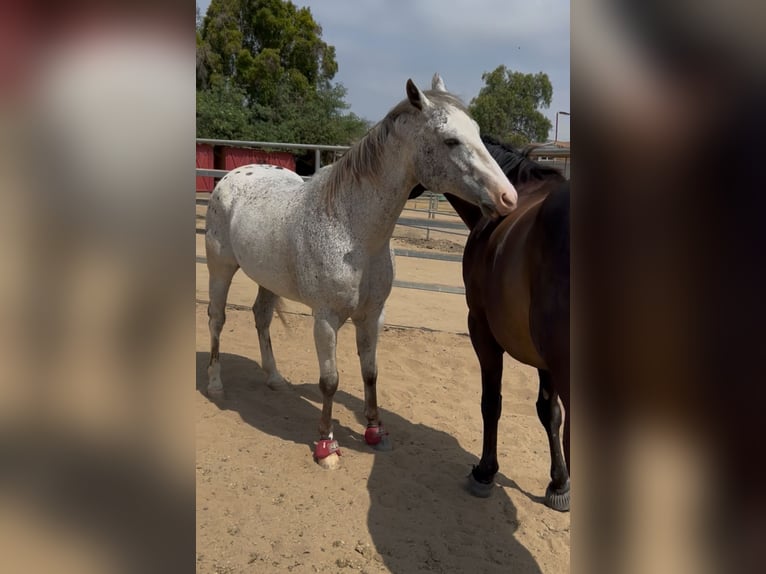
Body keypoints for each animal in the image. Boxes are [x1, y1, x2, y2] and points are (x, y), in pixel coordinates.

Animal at [204, 75, 518, 470]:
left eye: (477, 133)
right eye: (451, 140)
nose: (508, 197)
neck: (352, 231)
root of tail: (234, 174)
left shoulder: (372, 316)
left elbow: (370, 372)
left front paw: (375, 432)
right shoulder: (325, 319)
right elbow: (330, 380)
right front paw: (326, 447)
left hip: (267, 278)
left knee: (261, 317)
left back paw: (274, 378)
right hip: (220, 269)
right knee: (217, 320)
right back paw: (215, 384)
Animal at [442, 136, 570, 511]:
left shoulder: (481, 328)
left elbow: (491, 401)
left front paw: (485, 472)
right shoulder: (545, 357)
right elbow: (549, 412)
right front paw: (559, 484)